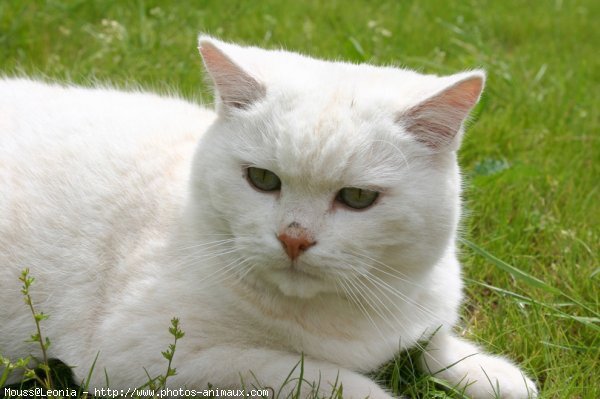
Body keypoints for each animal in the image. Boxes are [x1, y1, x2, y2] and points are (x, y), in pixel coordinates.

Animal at [0, 36, 536, 398]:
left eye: (358, 197)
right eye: (262, 179)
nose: (294, 238)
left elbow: (435, 345)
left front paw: (494, 374)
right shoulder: (147, 359)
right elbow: (323, 378)